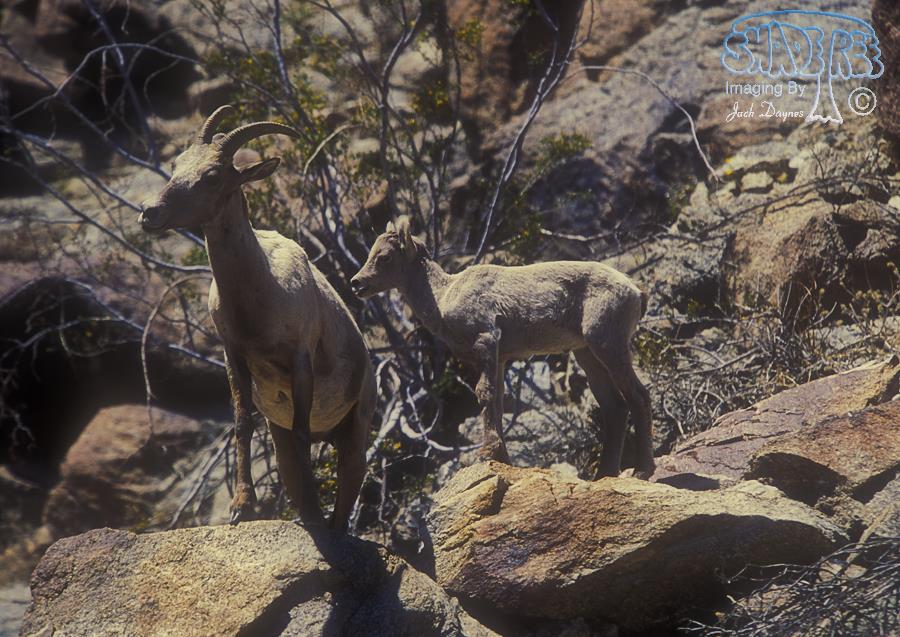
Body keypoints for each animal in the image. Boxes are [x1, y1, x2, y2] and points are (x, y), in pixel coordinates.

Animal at [139, 105, 375, 529]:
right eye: (177, 163)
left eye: (213, 175)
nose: (150, 212)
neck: (260, 293)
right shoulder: (234, 356)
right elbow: (242, 423)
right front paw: (240, 507)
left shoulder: (299, 359)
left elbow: (301, 432)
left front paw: (310, 514)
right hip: (285, 431)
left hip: (356, 424)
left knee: (349, 478)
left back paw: (327, 522)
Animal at [350, 220, 654, 478]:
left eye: (384, 256)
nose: (356, 283)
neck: (444, 296)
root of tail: (636, 292)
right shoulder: (499, 358)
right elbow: (495, 401)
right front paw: (501, 457)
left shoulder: (487, 341)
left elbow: (484, 394)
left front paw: (488, 454)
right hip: (587, 353)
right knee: (614, 407)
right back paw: (604, 475)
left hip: (608, 344)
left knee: (639, 396)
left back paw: (642, 470)